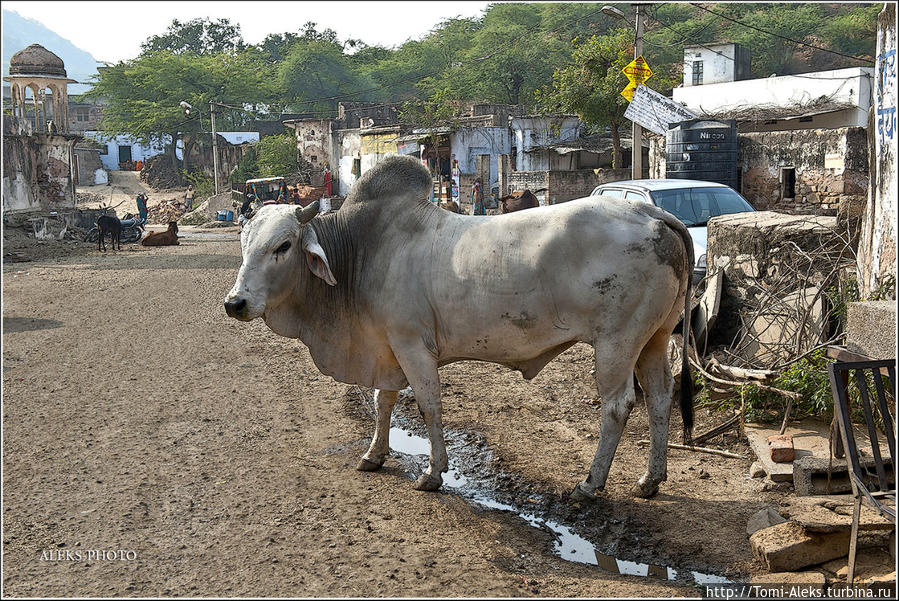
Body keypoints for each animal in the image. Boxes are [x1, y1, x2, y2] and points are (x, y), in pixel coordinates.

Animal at [225, 154, 696, 496]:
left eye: (284, 245)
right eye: (245, 243)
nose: (235, 303)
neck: (361, 252)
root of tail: (651, 213)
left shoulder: (412, 345)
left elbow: (428, 405)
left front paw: (433, 473)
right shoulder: (387, 347)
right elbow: (382, 401)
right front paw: (374, 456)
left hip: (617, 342)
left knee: (618, 406)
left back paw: (590, 483)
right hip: (654, 338)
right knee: (660, 397)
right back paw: (650, 480)